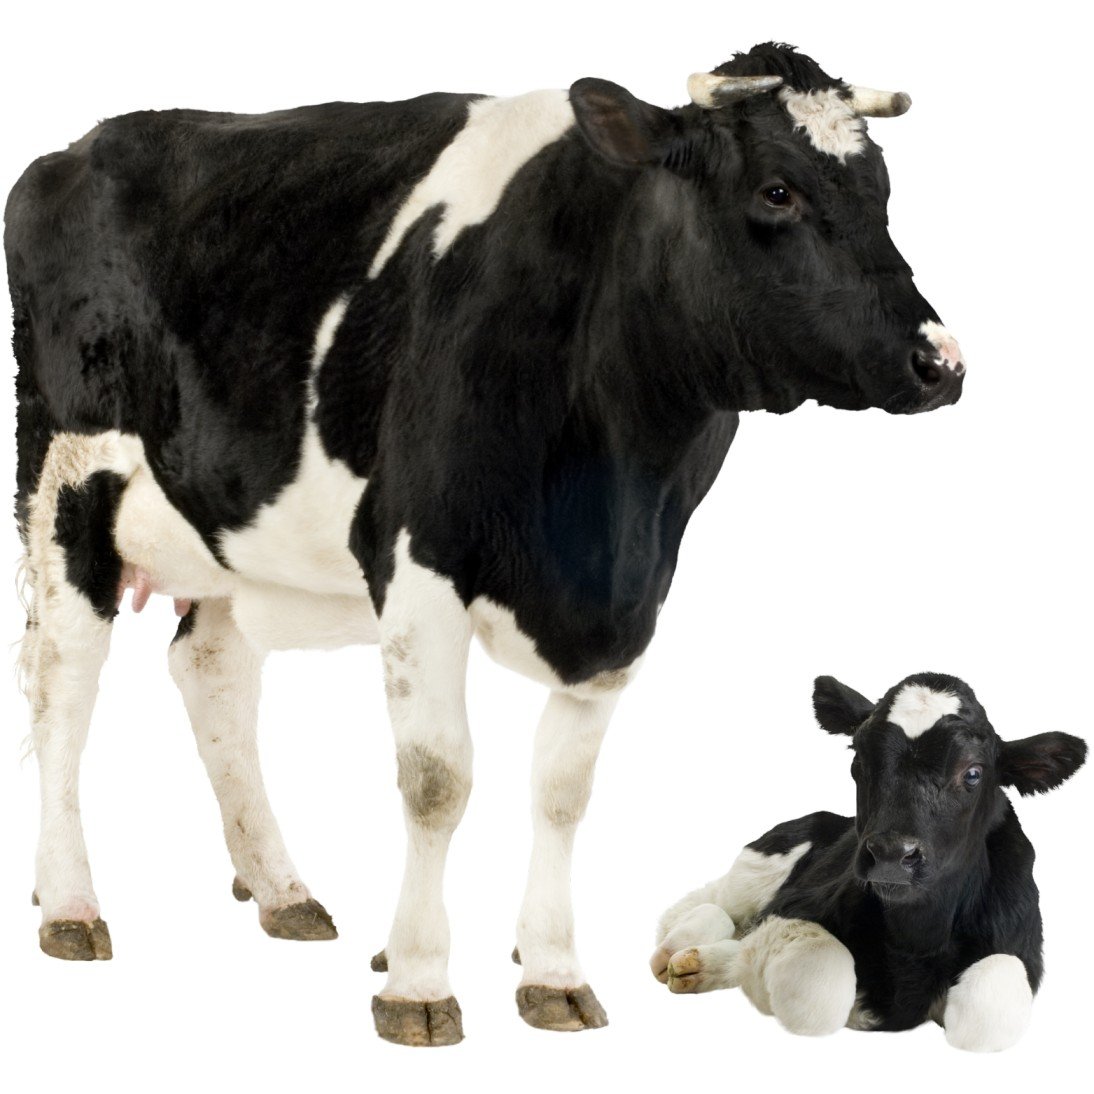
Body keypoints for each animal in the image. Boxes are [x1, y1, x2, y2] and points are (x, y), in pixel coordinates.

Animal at [6, 42, 964, 1046]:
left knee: (212, 673)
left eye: (882, 191)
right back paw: (69, 903)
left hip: (230, 523)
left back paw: (281, 890)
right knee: (63, 685)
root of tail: (79, 147)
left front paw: (551, 970)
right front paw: (418, 980)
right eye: (777, 191)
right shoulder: (420, 560)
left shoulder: (629, 598)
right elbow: (437, 779)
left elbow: (562, 790)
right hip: (66, 481)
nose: (939, 362)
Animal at [651, 673, 1087, 1052]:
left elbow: (986, 1013)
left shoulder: (1020, 948)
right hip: (761, 862)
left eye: (974, 773)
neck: (915, 937)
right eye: (859, 759)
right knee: (715, 905)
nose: (892, 855)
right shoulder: (792, 906)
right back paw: (678, 948)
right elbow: (820, 989)